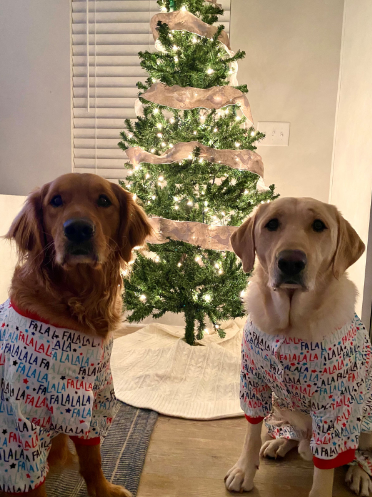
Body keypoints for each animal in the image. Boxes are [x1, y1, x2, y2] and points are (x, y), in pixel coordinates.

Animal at [0, 173, 153, 496]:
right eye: (55, 201)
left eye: (104, 200)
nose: (78, 229)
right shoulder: (18, 427)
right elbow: (32, 485)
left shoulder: (92, 398)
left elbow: (92, 456)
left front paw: (104, 490)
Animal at [225, 198, 370, 496]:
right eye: (271, 224)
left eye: (319, 225)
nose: (291, 261)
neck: (289, 326)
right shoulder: (253, 380)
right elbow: (251, 433)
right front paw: (244, 470)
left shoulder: (335, 405)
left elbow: (324, 469)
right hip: (281, 405)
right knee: (292, 433)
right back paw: (281, 442)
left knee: (359, 455)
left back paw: (360, 474)